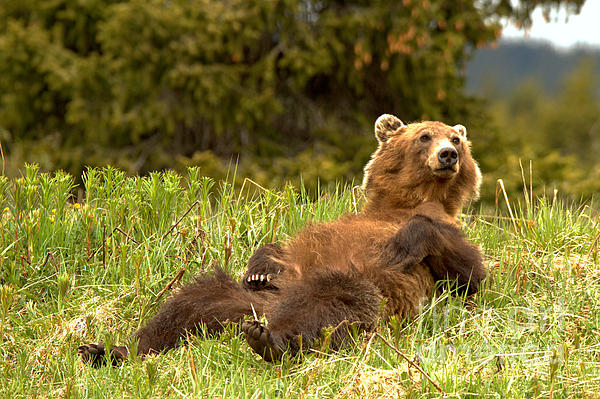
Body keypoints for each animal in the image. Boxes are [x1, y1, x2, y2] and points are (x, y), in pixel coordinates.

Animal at [77, 113, 486, 366]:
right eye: (424, 135)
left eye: (455, 138)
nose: (448, 154)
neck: (405, 201)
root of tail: (266, 313)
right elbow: (278, 248)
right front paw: (260, 267)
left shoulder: (443, 237)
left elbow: (471, 275)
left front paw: (403, 242)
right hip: (246, 301)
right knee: (190, 303)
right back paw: (110, 350)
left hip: (365, 290)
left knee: (330, 303)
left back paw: (269, 341)